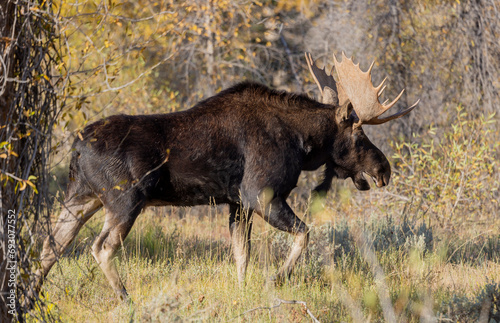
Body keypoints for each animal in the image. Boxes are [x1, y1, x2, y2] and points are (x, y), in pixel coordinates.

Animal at [32, 52, 418, 302]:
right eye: (359, 135)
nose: (384, 169)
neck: (303, 143)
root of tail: (76, 146)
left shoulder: (236, 203)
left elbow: (241, 255)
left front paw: (244, 291)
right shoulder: (260, 193)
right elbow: (304, 235)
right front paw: (276, 280)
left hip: (81, 198)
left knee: (50, 246)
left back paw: (33, 295)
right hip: (124, 200)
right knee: (100, 247)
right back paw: (125, 297)